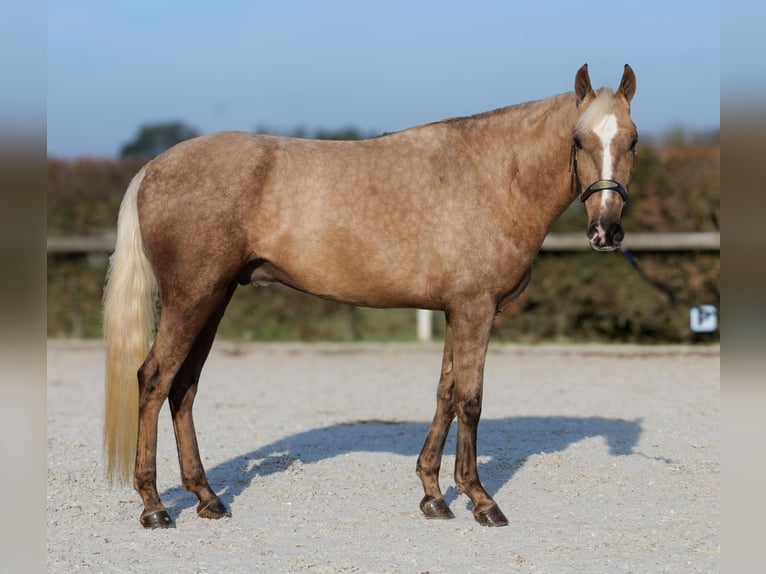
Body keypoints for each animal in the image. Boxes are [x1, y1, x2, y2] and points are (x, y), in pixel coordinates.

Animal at [103, 63, 637, 529]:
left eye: (631, 140)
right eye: (578, 140)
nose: (606, 232)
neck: (492, 176)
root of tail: (153, 168)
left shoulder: (454, 311)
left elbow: (444, 394)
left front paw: (433, 495)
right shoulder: (475, 310)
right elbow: (470, 400)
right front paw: (481, 499)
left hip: (213, 300)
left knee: (184, 387)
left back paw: (207, 497)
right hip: (191, 298)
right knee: (154, 380)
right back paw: (154, 507)